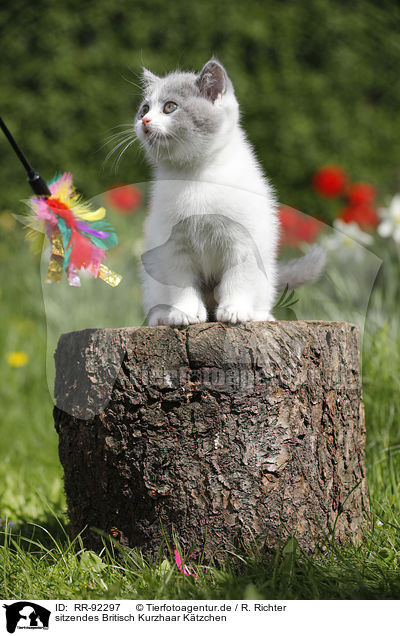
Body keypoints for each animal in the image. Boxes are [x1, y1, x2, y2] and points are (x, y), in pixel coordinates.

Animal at [133, 58, 324, 328]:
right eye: (144, 109)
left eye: (170, 107)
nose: (145, 122)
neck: (195, 176)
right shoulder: (172, 243)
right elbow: (180, 281)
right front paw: (185, 312)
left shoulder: (243, 239)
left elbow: (238, 277)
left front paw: (235, 309)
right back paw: (161, 316)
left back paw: (260, 314)